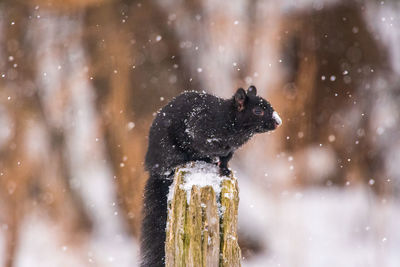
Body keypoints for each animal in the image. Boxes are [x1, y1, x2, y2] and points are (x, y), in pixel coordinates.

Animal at [141, 86, 282, 267]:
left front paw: (225, 170)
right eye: (258, 111)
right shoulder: (200, 128)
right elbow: (206, 145)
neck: (230, 121)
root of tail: (153, 167)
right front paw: (212, 158)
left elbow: (225, 159)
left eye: (270, 106)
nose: (278, 122)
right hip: (168, 152)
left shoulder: (231, 150)